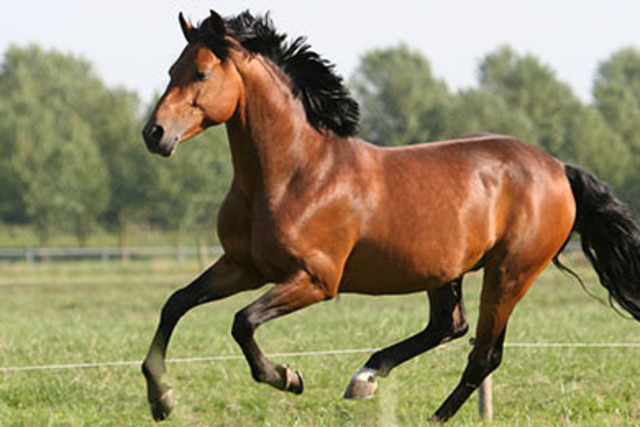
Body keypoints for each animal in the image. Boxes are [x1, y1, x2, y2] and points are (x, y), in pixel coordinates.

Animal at [141, 10, 640, 422]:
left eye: (201, 73)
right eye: (170, 71)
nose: (154, 134)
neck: (294, 174)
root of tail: (558, 167)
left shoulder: (315, 280)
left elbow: (242, 322)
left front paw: (287, 377)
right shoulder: (243, 266)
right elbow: (175, 304)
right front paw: (161, 399)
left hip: (510, 272)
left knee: (483, 355)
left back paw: (426, 412)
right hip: (445, 271)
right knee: (449, 327)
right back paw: (366, 376)